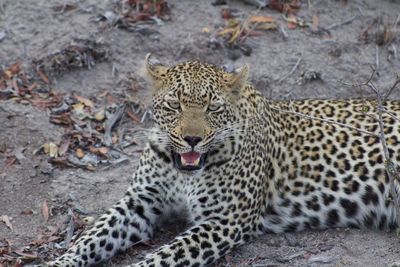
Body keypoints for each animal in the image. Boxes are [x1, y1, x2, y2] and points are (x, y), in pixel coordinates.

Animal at [40, 54, 400, 267]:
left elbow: (162, 257)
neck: (183, 172)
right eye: (174, 105)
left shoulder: (224, 220)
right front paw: (56, 262)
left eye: (213, 107)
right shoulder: (140, 202)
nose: (192, 139)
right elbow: (91, 238)